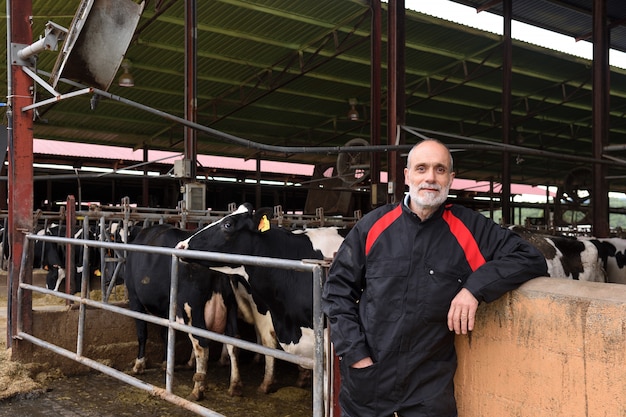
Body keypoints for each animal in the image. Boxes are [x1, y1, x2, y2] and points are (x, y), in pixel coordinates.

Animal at [123, 224, 240, 400]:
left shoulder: (134, 298)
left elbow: (142, 334)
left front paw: (139, 365)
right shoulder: (167, 308)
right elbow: (166, 334)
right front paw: (166, 363)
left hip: (192, 309)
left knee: (202, 346)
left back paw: (197, 389)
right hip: (231, 307)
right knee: (234, 343)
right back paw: (234, 385)